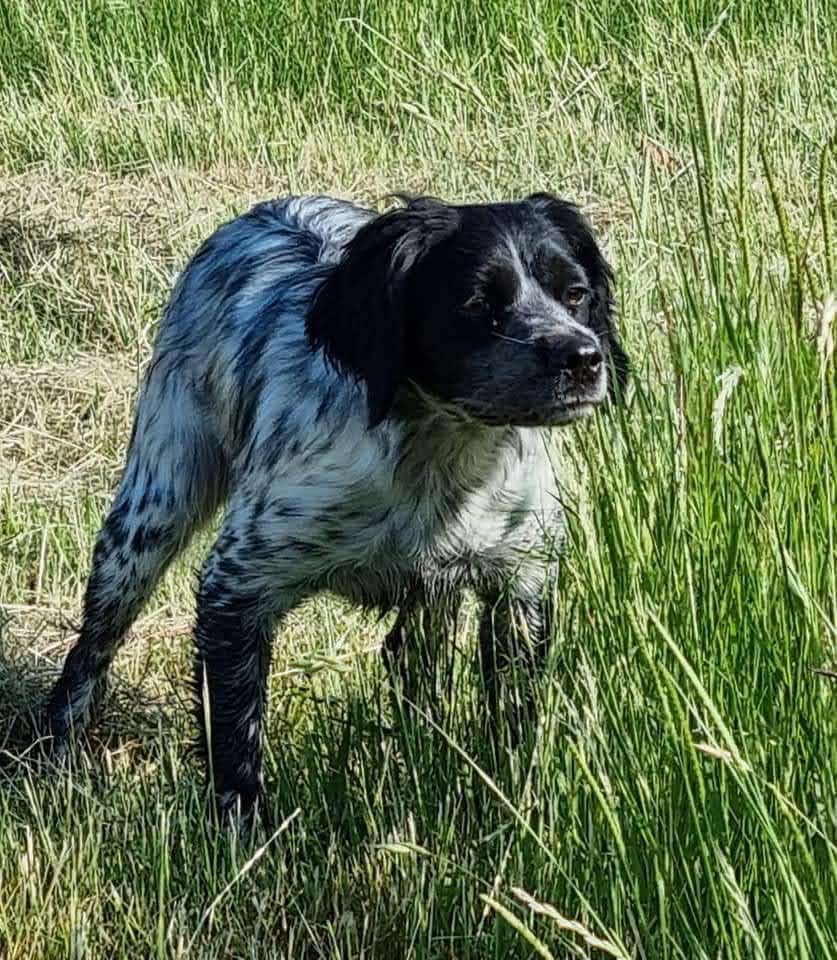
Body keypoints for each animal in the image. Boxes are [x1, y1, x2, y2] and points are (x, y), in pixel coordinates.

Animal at [43, 192, 629, 819]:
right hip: (151, 512)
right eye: (477, 303)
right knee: (93, 646)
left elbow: (513, 734)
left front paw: (511, 811)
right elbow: (236, 740)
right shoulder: (236, 584)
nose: (582, 358)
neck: (439, 460)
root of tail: (270, 208)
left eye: (575, 294)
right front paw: (242, 831)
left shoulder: (522, 582)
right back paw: (57, 755)